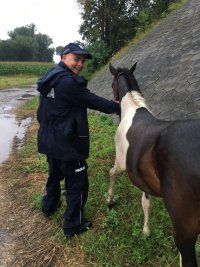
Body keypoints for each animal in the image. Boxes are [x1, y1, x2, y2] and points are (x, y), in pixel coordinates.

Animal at [108, 63, 200, 267]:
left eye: (111, 85)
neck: (133, 110)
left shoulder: (121, 163)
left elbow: (112, 173)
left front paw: (109, 200)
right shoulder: (143, 179)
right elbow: (146, 203)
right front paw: (146, 231)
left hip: (184, 234)